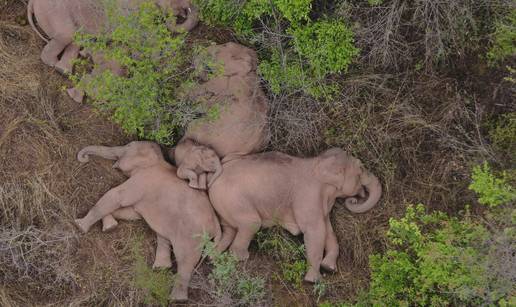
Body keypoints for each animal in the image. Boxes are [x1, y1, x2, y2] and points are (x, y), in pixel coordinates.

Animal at [26, 0, 201, 74]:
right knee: (67, 36)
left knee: (76, 40)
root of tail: (31, 3)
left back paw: (64, 71)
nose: (187, 10)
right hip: (57, 14)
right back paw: (55, 65)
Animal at [73, 142, 219, 304]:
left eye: (127, 147)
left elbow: (116, 196)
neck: (157, 159)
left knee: (185, 260)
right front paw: (110, 227)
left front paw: (79, 225)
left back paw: (177, 299)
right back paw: (161, 268)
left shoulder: (142, 180)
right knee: (163, 237)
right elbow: (130, 213)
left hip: (193, 235)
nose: (84, 158)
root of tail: (216, 225)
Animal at [171, 41, 272, 185]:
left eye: (222, 49)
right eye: (227, 44)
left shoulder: (221, 83)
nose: (199, 52)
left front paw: (177, 92)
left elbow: (199, 91)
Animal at [208, 149, 380, 284]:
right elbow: (315, 232)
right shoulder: (308, 197)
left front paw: (329, 268)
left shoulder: (321, 205)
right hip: (233, 199)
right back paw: (241, 258)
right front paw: (313, 280)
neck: (318, 162)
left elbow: (329, 232)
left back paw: (214, 257)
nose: (354, 200)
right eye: (361, 168)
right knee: (251, 224)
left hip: (225, 205)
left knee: (229, 230)